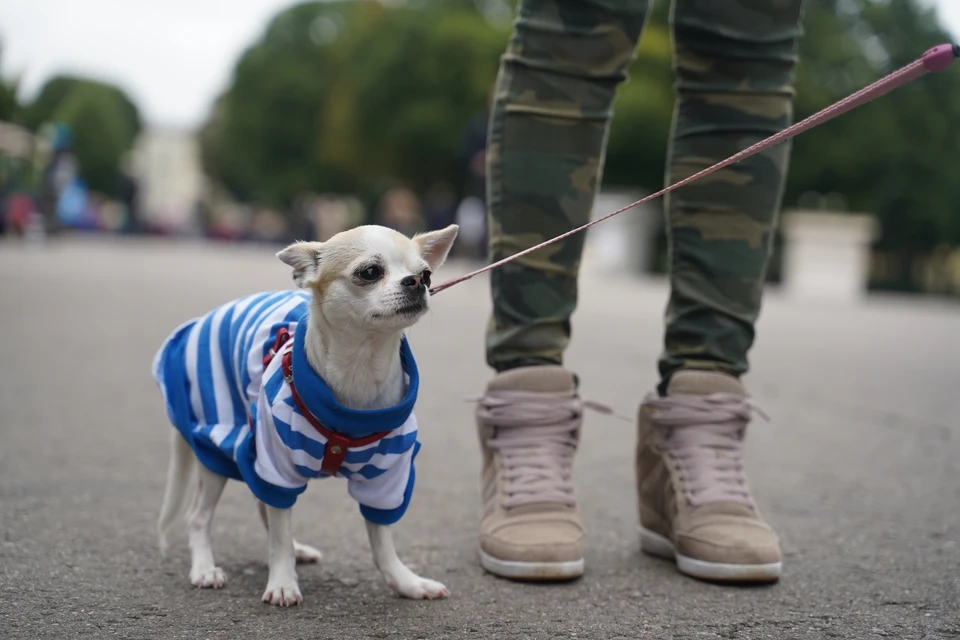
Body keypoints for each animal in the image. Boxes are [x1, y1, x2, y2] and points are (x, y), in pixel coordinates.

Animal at [153, 221, 458, 604]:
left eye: (427, 274)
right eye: (370, 272)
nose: (417, 282)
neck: (359, 371)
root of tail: (200, 322)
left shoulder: (387, 478)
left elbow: (381, 539)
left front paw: (406, 581)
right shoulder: (276, 465)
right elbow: (280, 531)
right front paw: (283, 581)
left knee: (264, 507)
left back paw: (296, 551)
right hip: (217, 444)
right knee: (200, 515)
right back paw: (205, 568)